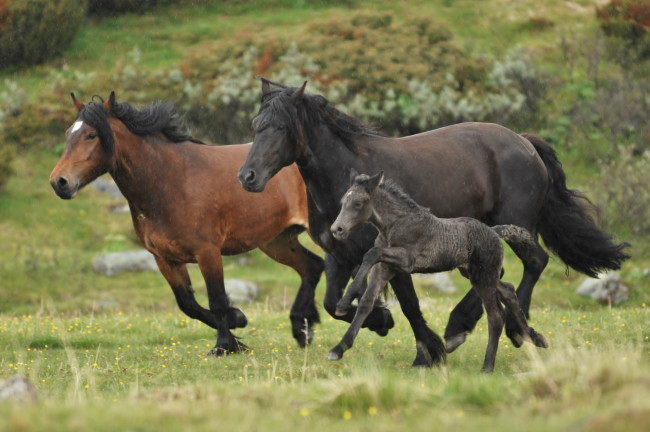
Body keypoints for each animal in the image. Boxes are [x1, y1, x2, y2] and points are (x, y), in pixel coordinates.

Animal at [49, 92, 322, 354]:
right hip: (277, 241)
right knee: (312, 267)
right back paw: (303, 329)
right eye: (68, 133)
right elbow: (187, 304)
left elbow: (216, 300)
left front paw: (224, 346)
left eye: (91, 135)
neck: (172, 180)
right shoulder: (165, 258)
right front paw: (238, 320)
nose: (59, 182)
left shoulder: (207, 252)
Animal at [239, 79, 628, 366]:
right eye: (255, 127)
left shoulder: (392, 257)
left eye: (279, 127)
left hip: (514, 225)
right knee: (506, 274)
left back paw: (493, 329)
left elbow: (409, 305)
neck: (344, 177)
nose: (247, 176)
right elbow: (335, 303)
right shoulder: (340, 255)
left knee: (533, 263)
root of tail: (525, 142)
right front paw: (383, 323)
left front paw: (428, 352)